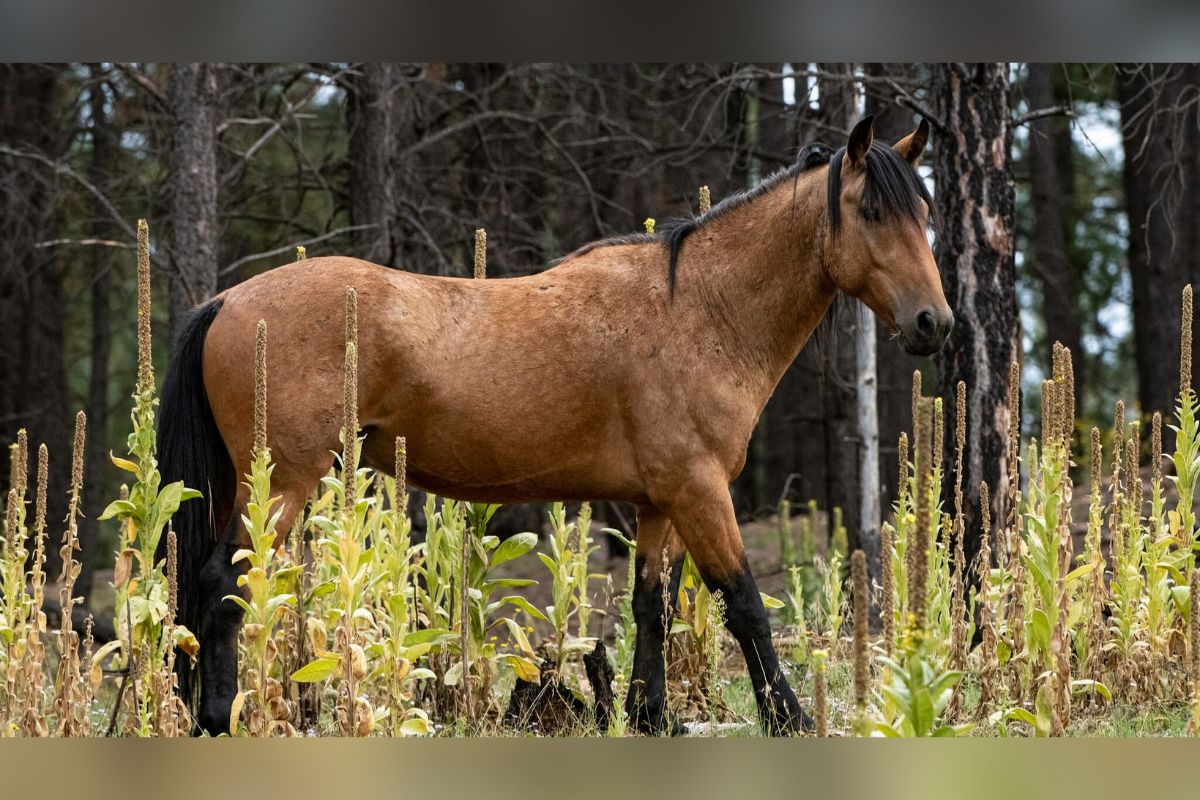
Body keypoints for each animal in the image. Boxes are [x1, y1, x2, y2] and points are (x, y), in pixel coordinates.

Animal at [158, 114, 952, 736]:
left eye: (925, 213)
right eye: (872, 212)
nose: (933, 324)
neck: (697, 311)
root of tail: (226, 301)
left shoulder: (660, 502)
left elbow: (651, 606)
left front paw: (650, 716)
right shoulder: (700, 492)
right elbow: (744, 603)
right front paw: (788, 717)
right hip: (282, 483)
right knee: (222, 582)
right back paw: (216, 718)